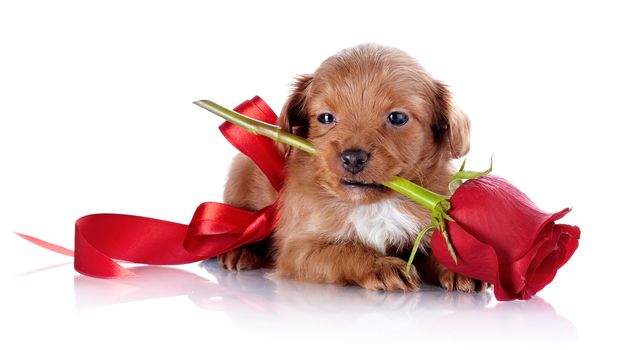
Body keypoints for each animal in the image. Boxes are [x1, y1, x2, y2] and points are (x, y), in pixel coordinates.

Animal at [219, 45, 488, 294]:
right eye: (326, 118)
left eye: (397, 118)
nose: (353, 158)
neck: (373, 205)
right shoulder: (299, 249)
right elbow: (344, 250)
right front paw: (381, 265)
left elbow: (437, 251)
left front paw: (462, 267)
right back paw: (239, 251)